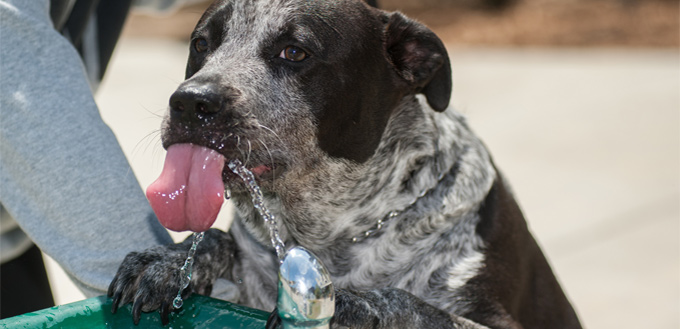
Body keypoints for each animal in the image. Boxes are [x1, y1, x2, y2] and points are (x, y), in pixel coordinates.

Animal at [109, 1, 580, 326]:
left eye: (294, 52)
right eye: (202, 44)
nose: (191, 102)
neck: (331, 236)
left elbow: (413, 306)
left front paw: (354, 306)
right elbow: (217, 241)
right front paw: (170, 260)